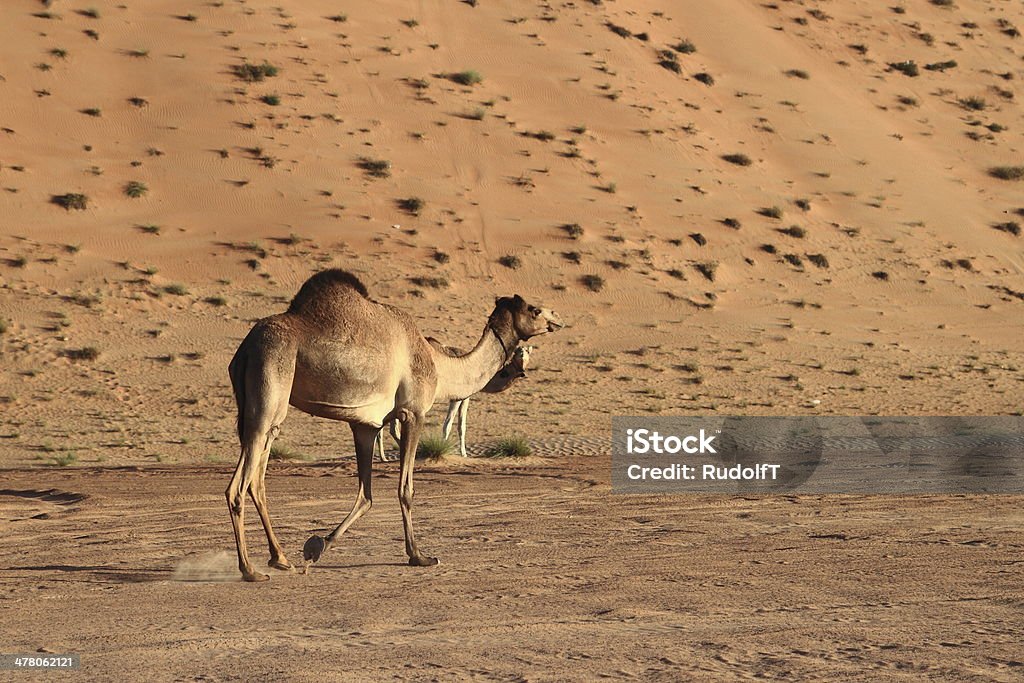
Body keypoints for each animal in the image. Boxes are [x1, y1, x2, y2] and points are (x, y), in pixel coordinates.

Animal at [376, 344, 536, 462]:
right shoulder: (459, 397)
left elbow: (460, 426)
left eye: (527, 351)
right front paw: (449, 449)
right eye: (517, 351)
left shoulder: (465, 397)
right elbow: (451, 424)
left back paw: (384, 457)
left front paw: (462, 452)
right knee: (391, 428)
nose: (522, 356)